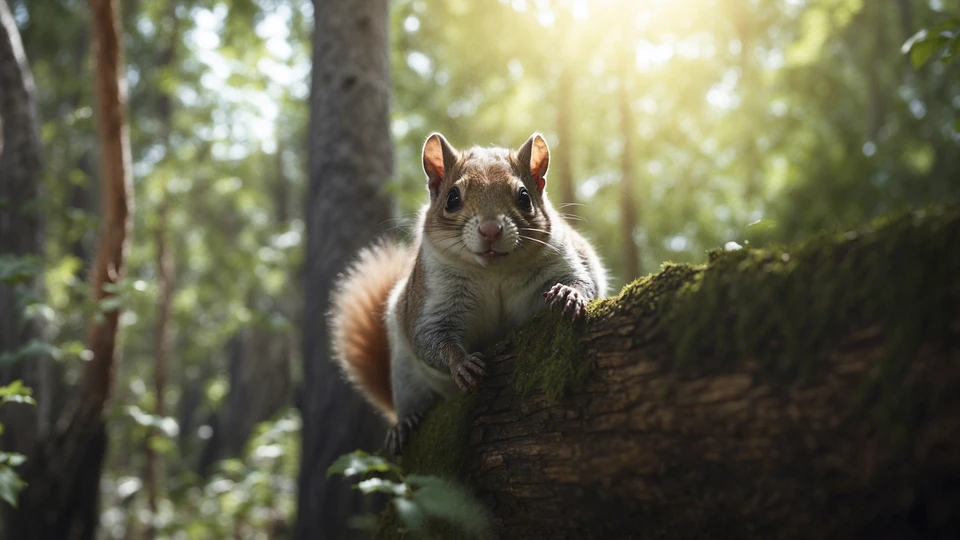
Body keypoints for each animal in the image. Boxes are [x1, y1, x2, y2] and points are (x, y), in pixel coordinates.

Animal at [329, 132, 608, 455]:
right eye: (452, 198)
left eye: (524, 197)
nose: (490, 230)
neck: (493, 273)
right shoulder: (434, 297)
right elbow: (430, 337)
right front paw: (461, 363)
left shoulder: (560, 258)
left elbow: (582, 280)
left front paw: (569, 294)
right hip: (405, 375)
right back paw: (404, 423)